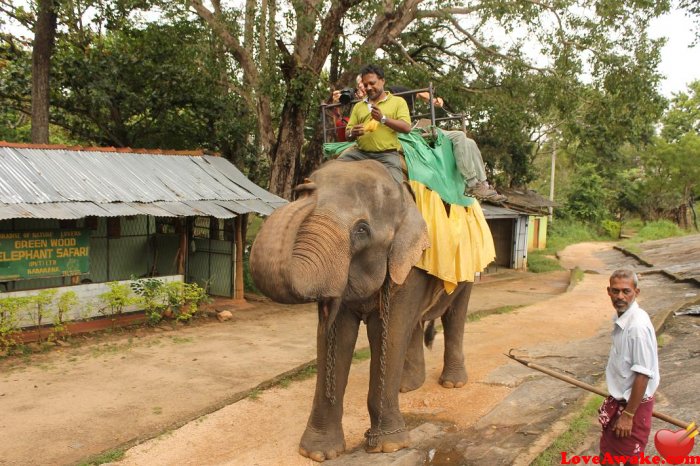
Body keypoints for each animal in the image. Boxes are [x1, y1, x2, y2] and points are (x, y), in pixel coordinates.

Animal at [249, 157, 474, 462]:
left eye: (361, 230)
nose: (305, 187)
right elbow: (337, 336)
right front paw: (317, 453)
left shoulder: (409, 263)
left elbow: (388, 333)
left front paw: (388, 447)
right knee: (415, 323)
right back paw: (408, 387)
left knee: (454, 315)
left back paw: (451, 384)